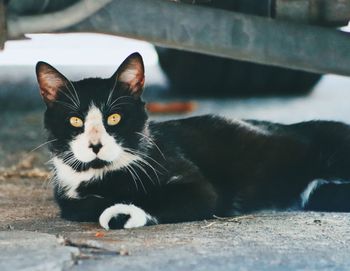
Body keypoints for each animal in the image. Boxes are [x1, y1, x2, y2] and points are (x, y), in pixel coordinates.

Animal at [36, 52, 350, 230]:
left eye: (114, 118)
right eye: (75, 121)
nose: (95, 146)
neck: (101, 175)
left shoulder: (195, 182)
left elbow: (176, 197)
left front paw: (124, 212)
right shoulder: (66, 197)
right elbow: (78, 207)